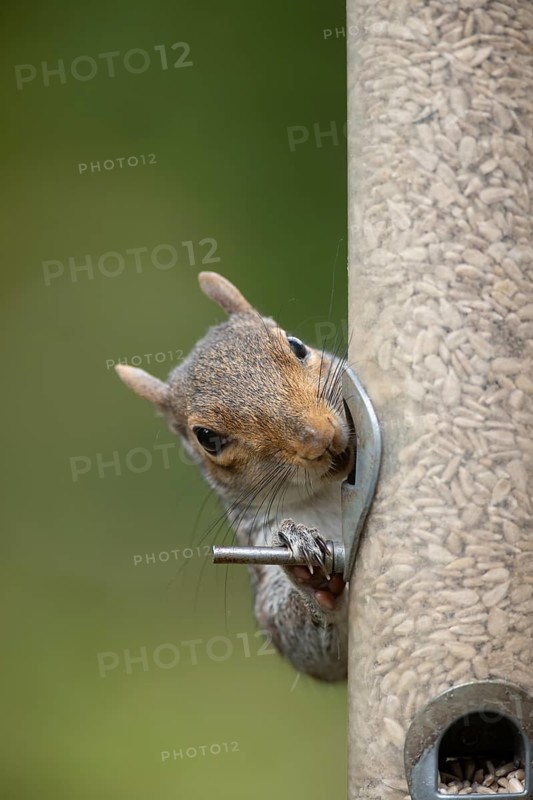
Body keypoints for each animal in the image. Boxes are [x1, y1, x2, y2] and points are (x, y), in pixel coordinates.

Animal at [115, 272, 354, 681]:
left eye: (296, 346)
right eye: (208, 439)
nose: (318, 437)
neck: (325, 492)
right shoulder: (258, 537)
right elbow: (319, 655)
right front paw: (307, 566)